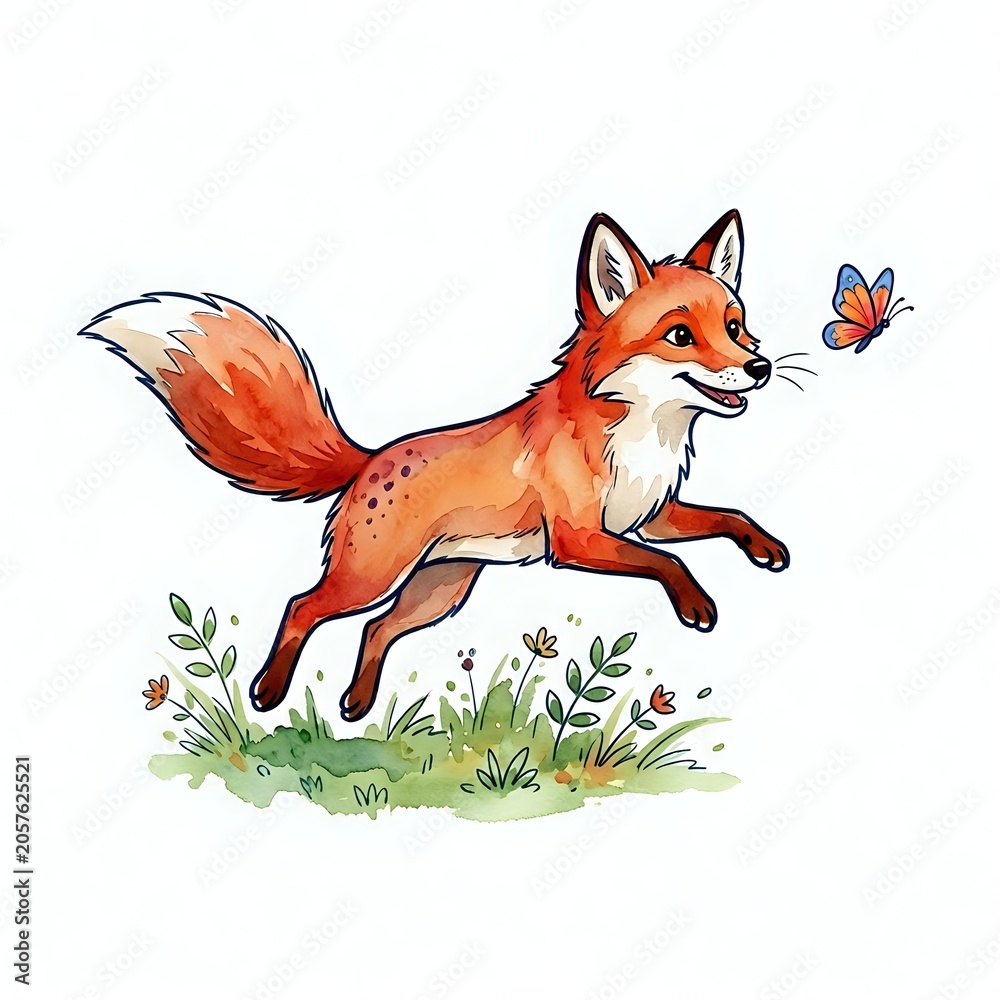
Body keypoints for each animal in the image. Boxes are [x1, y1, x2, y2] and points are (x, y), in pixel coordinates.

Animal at [81, 209, 788, 722]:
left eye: (735, 327)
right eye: (680, 336)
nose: (760, 367)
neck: (640, 433)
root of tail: (370, 459)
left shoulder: (647, 516)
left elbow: (728, 516)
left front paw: (766, 549)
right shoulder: (581, 539)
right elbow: (669, 563)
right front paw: (696, 604)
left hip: (438, 590)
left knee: (375, 630)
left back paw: (356, 704)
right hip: (373, 576)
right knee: (302, 606)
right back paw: (269, 691)